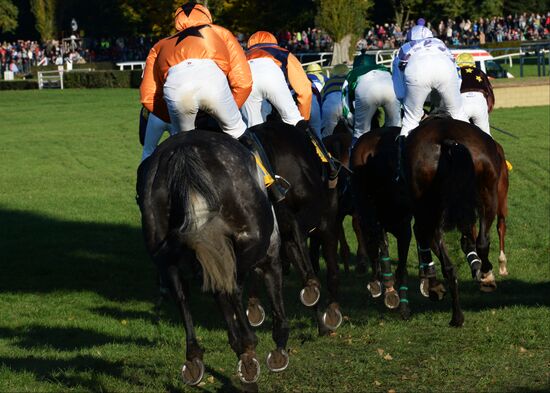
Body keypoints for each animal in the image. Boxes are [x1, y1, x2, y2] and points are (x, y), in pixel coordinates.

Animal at [137, 130, 292, 384]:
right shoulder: (268, 254)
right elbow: (272, 296)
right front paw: (277, 351)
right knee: (232, 287)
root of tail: (184, 152)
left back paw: (195, 357)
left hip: (163, 253)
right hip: (251, 240)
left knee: (182, 294)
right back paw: (248, 342)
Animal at [406, 115, 508, 324]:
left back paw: (455, 312)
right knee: (483, 240)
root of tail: (447, 141)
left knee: (444, 258)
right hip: (488, 195)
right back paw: (485, 275)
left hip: (430, 204)